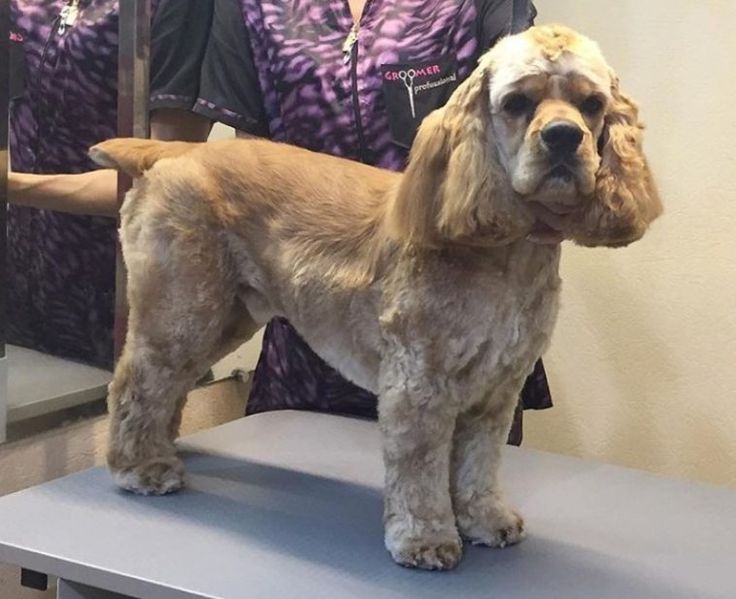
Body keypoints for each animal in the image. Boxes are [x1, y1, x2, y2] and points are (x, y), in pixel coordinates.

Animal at [90, 25, 660, 572]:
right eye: (518, 101)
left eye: (592, 104)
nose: (564, 137)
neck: (504, 254)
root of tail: (173, 152)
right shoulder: (419, 381)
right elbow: (420, 470)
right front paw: (426, 539)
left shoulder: (497, 387)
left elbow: (478, 463)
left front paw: (484, 519)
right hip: (182, 306)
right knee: (136, 383)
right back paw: (139, 466)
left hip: (223, 313)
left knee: (168, 386)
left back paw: (161, 448)